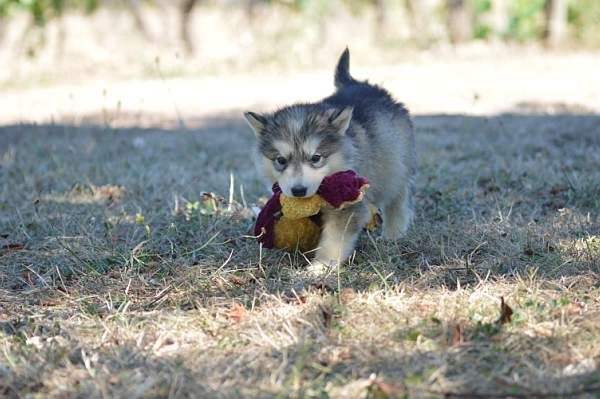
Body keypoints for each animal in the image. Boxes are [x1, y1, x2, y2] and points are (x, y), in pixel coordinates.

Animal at [246, 49, 414, 268]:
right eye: (281, 160)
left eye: (316, 158)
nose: (298, 191)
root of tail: (357, 83)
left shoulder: (347, 206)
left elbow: (334, 238)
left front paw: (321, 266)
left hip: (396, 167)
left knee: (398, 198)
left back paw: (394, 233)